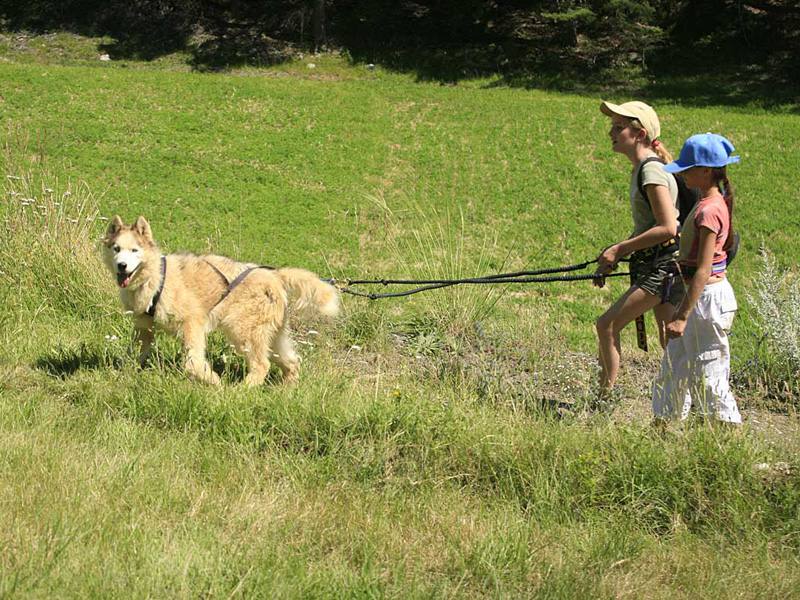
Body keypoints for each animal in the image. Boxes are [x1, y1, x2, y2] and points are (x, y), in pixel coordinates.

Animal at [101, 216, 340, 384]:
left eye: (135, 250)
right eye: (116, 249)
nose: (122, 266)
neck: (156, 278)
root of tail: (274, 275)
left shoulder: (192, 324)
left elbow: (193, 363)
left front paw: (212, 380)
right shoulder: (144, 328)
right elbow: (137, 354)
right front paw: (124, 373)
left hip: (242, 331)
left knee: (262, 365)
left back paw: (240, 391)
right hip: (271, 336)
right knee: (291, 362)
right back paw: (286, 390)